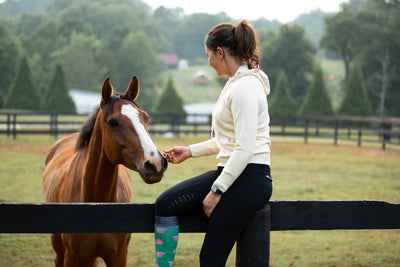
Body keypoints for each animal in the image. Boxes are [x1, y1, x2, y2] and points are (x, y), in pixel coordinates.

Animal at [43, 76, 168, 266]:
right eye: (113, 122)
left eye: (145, 117)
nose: (155, 164)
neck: (98, 207)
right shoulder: (71, 256)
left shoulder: (118, 255)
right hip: (60, 253)